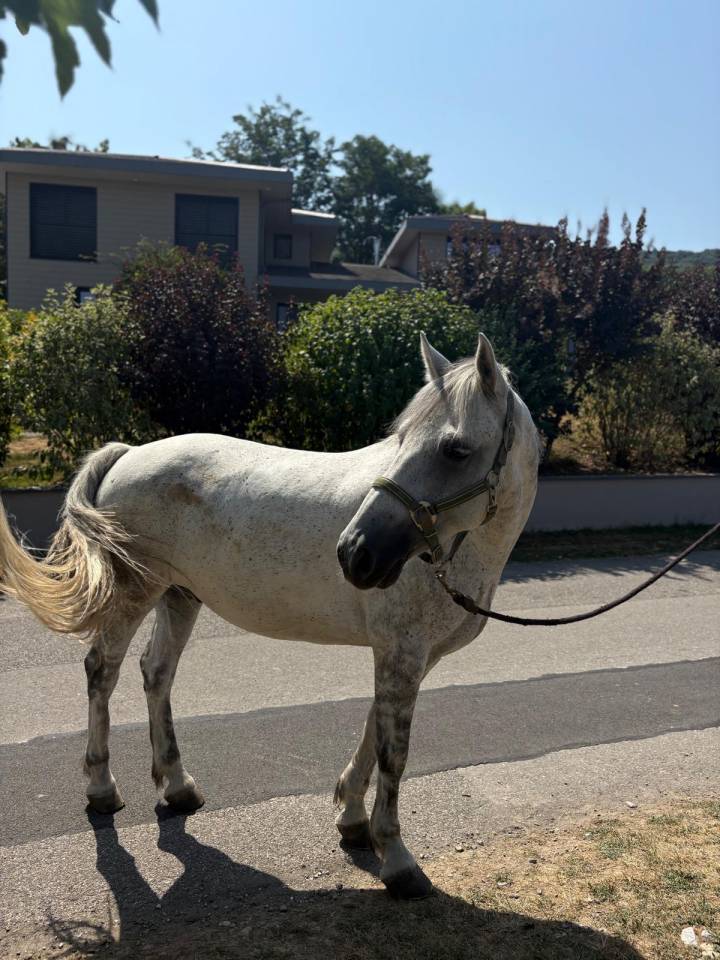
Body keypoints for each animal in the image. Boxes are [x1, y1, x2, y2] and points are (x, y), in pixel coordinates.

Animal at [0, 332, 539, 899]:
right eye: (401, 439)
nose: (355, 552)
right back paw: (102, 788)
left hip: (180, 595)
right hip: (134, 592)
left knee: (157, 672)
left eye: (455, 450)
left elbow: (374, 729)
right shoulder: (401, 653)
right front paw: (397, 858)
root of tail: (129, 454)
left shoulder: (408, 657)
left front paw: (352, 818)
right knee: (102, 672)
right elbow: (394, 753)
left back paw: (178, 785)